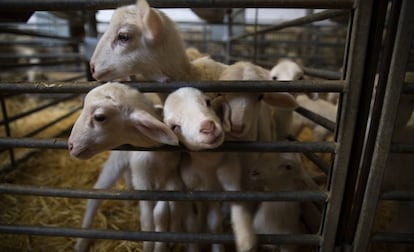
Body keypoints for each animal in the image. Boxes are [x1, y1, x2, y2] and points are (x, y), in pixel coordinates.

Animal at [68, 81, 184, 252]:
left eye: (99, 117)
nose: (70, 146)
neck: (156, 155)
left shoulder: (171, 177)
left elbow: (162, 213)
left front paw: (165, 242)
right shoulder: (142, 181)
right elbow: (147, 220)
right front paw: (149, 246)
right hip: (116, 161)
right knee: (95, 196)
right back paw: (81, 242)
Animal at [163, 87, 258, 252]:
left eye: (207, 102)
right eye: (174, 127)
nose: (208, 127)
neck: (210, 165)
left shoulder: (230, 173)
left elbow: (234, 203)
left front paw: (245, 238)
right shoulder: (196, 190)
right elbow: (197, 223)